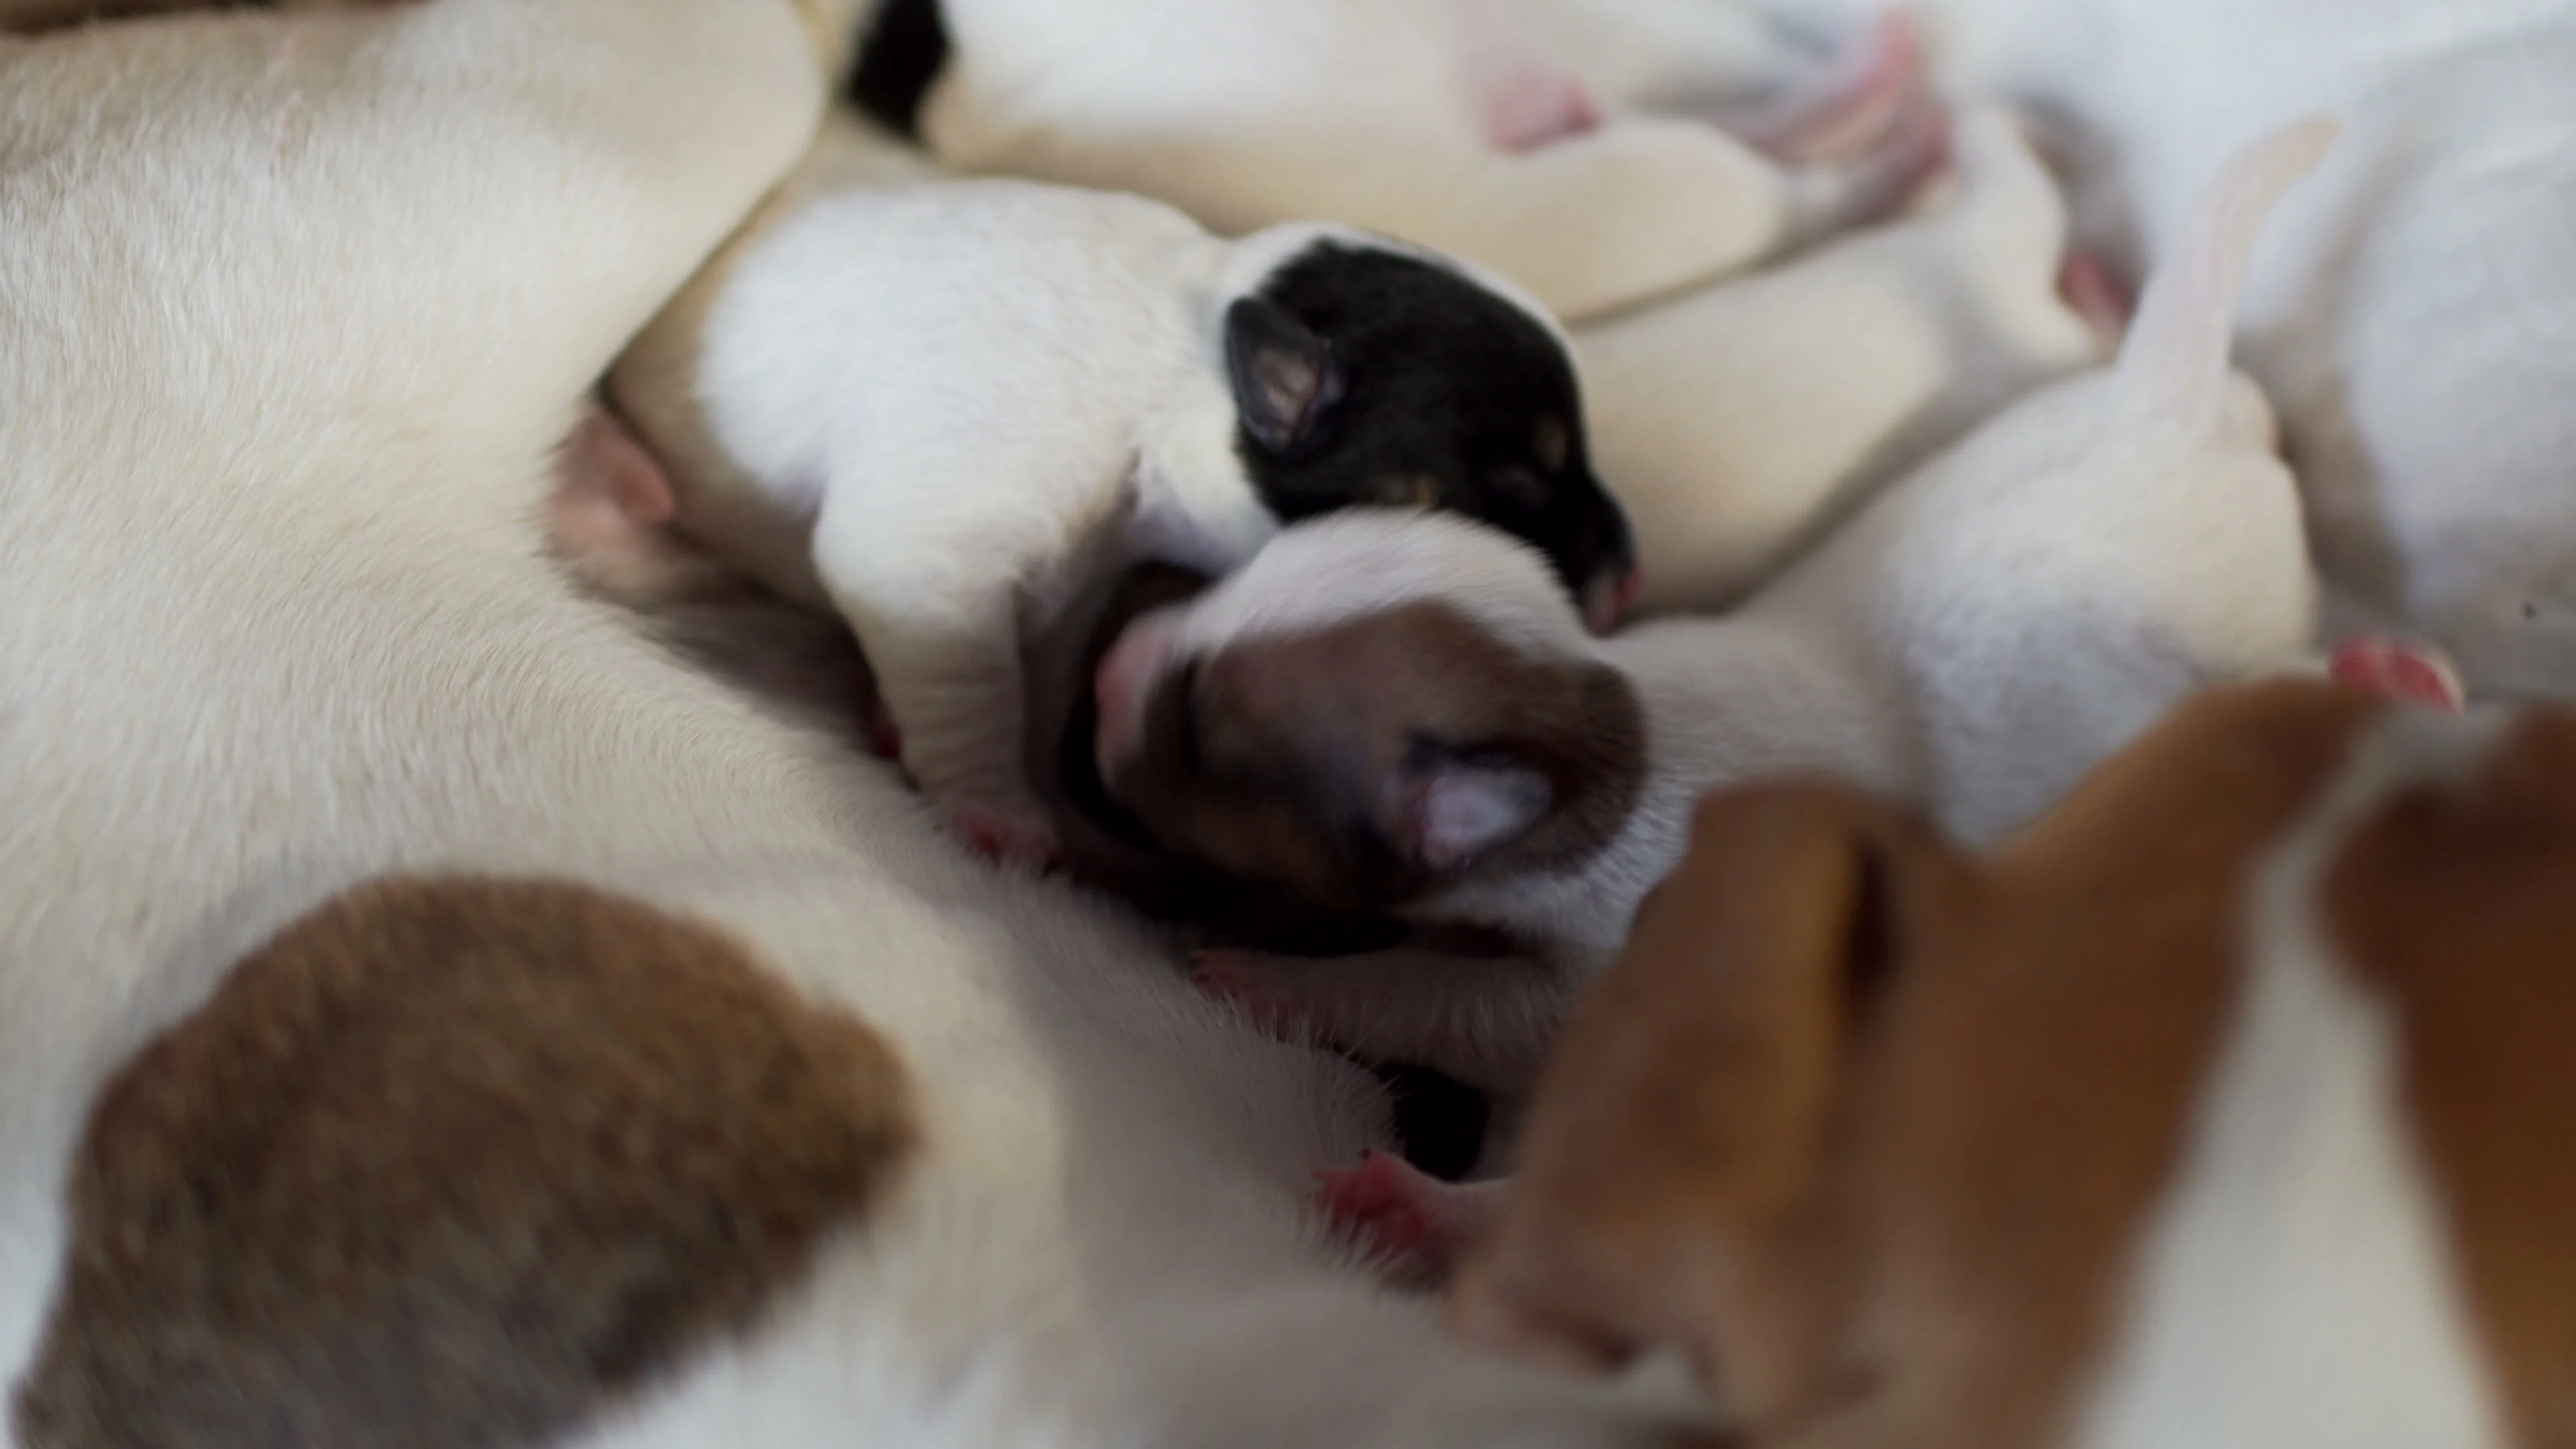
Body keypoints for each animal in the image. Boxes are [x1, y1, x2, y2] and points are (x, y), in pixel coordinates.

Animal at [608, 118, 1627, 861]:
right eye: (1522, 483)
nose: (1628, 569)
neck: (1185, 367)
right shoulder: (929, 550)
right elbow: (971, 678)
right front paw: (994, 807)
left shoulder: (1078, 579)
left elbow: (1040, 673)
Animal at [1087, 118, 2339, 1108]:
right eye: (1233, 584)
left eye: (1202, 735)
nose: (1101, 669)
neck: (1604, 719)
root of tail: (2163, 405)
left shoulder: (1607, 964)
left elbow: (1453, 1002)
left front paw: (1260, 975)